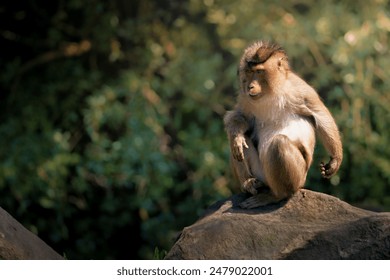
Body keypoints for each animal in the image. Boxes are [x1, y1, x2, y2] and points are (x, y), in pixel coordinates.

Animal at [224, 41, 342, 208]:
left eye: (259, 72)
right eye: (248, 72)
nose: (250, 86)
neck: (271, 92)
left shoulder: (301, 89)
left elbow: (321, 116)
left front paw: (335, 160)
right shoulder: (246, 98)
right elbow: (239, 117)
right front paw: (237, 137)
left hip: (298, 178)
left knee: (279, 143)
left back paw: (277, 196)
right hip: (261, 174)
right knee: (242, 143)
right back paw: (249, 182)